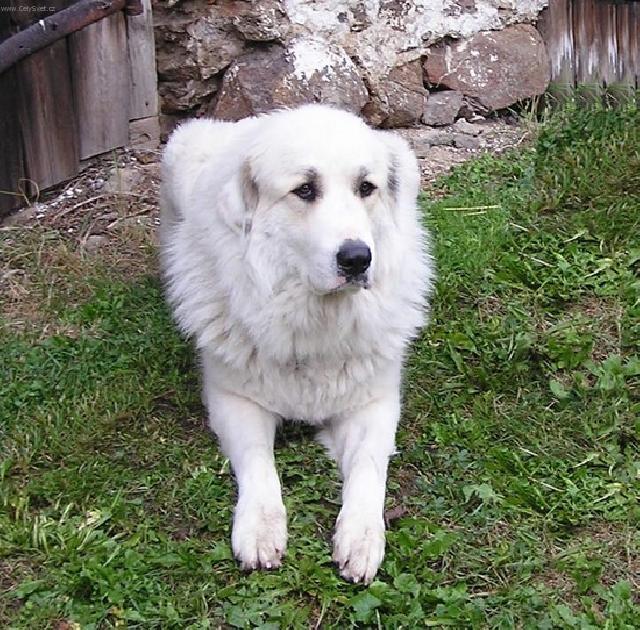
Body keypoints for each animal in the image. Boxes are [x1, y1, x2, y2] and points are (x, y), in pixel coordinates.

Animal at [158, 106, 432, 584]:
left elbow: (369, 465)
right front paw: (260, 525)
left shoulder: (374, 404)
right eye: (304, 190)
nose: (358, 259)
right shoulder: (234, 400)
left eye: (366, 188)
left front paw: (362, 536)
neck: (315, 317)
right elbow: (257, 460)